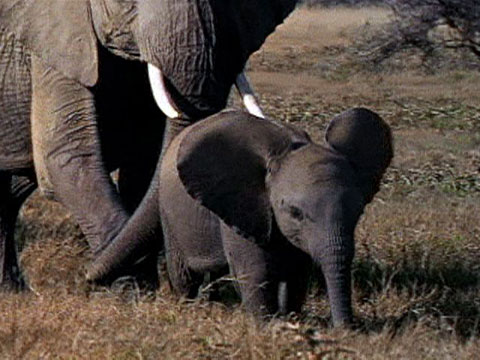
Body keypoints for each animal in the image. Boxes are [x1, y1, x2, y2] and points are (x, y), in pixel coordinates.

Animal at [0, 0, 298, 290]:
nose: (84, 275)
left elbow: (146, 163)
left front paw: (141, 286)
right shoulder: (55, 43)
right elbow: (66, 158)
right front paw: (128, 291)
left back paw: (12, 288)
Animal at [88, 108, 392, 328]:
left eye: (359, 212)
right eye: (295, 212)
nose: (347, 329)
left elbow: (297, 271)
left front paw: (291, 321)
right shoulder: (243, 206)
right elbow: (254, 270)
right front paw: (267, 327)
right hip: (169, 211)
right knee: (183, 271)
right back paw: (189, 308)